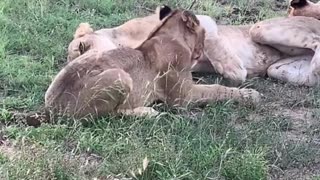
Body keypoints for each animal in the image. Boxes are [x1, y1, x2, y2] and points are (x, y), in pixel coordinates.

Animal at [44, 5, 260, 118]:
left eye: (81, 47)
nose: (199, 54)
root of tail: (53, 107)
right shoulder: (182, 98)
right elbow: (216, 89)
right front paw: (250, 94)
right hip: (121, 76)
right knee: (109, 113)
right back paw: (147, 112)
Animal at [67, 0, 320, 87]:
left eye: (81, 48)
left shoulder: (200, 18)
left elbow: (211, 40)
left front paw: (233, 69)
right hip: (279, 69)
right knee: (312, 76)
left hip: (260, 28)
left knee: (317, 41)